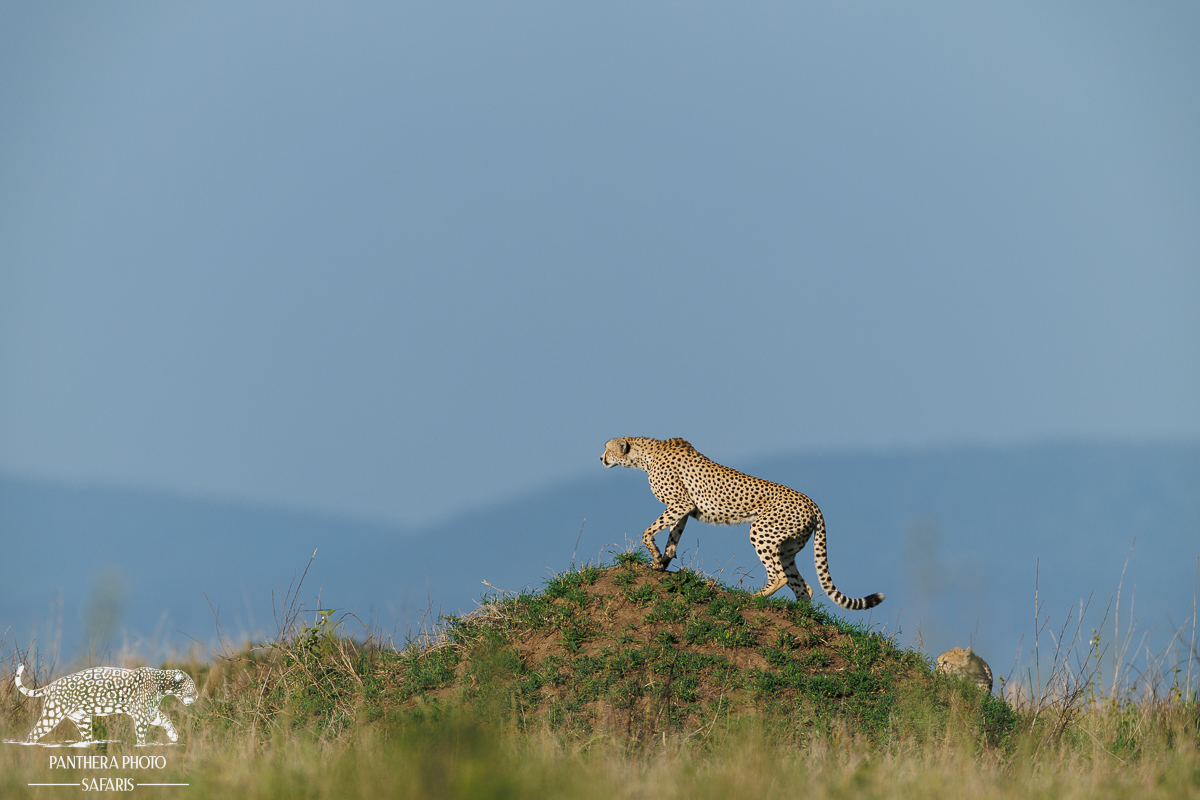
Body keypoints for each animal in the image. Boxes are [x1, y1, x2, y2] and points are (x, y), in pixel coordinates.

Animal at [15, 664, 198, 746]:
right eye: (192, 686)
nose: (196, 696)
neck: (162, 685)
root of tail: (51, 685)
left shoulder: (149, 712)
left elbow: (165, 719)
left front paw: (173, 735)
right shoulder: (141, 714)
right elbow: (141, 733)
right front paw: (142, 747)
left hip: (82, 720)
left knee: (85, 738)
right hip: (53, 714)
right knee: (34, 734)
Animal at [602, 436, 884, 610]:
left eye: (607, 448)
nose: (601, 459)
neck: (646, 454)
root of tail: (812, 502)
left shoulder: (681, 504)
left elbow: (648, 531)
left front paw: (655, 555)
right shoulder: (683, 509)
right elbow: (673, 538)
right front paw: (661, 563)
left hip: (761, 531)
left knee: (780, 576)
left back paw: (754, 598)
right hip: (786, 547)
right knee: (804, 587)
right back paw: (802, 616)